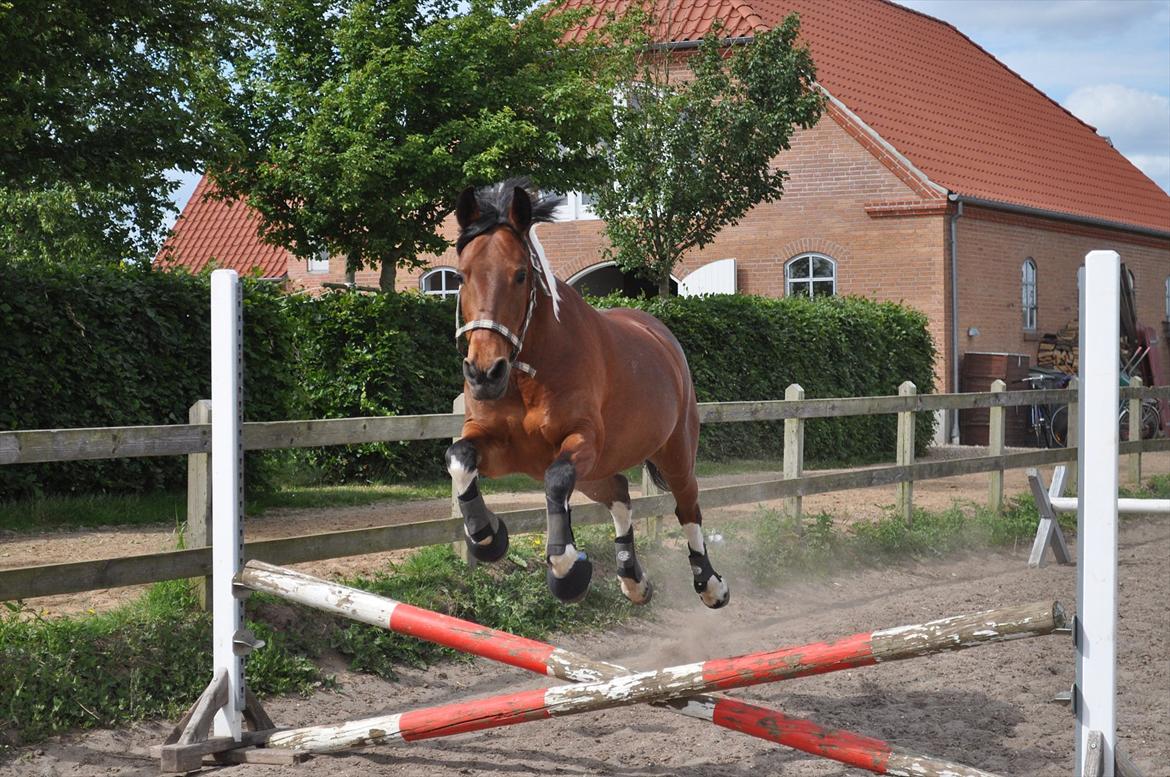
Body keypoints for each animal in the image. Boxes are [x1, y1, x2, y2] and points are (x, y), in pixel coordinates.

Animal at [442, 180, 725, 608]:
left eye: (520, 275)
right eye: (460, 276)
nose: (485, 373)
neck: (528, 373)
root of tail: (661, 335)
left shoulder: (581, 441)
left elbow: (556, 482)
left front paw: (567, 570)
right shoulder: (497, 446)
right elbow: (459, 459)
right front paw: (488, 537)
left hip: (673, 452)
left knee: (687, 505)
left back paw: (710, 584)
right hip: (597, 472)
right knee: (620, 493)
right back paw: (633, 579)